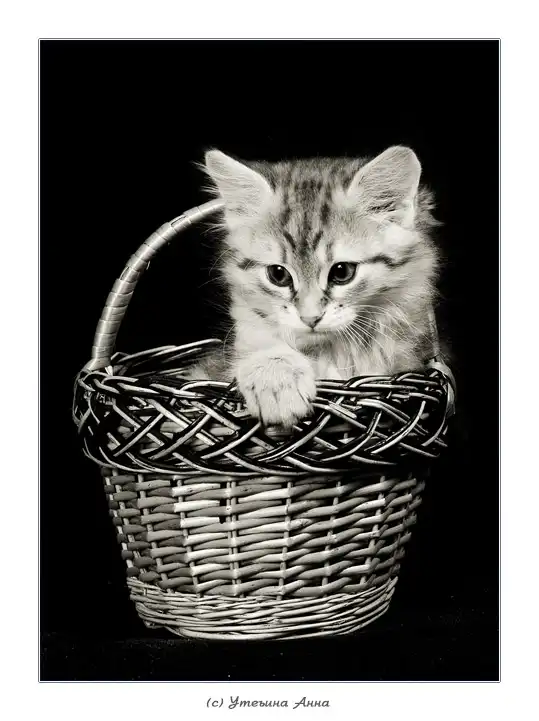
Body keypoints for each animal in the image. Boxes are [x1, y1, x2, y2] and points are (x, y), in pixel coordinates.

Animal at [188, 145, 442, 429]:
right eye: (278, 275)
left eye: (342, 272)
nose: (310, 318)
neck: (330, 351)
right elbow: (262, 344)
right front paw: (276, 379)